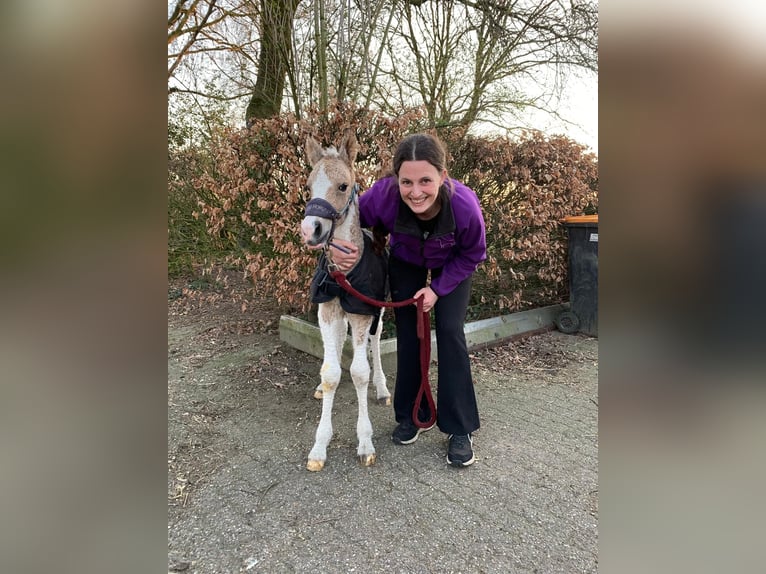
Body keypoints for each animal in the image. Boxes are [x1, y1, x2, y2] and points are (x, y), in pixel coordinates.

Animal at [299, 130, 391, 472]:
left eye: (342, 186)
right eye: (308, 186)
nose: (310, 230)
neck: (344, 271)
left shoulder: (363, 311)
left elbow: (360, 372)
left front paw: (365, 442)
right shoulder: (327, 308)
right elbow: (330, 373)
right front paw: (319, 447)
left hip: (380, 307)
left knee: (376, 340)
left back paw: (383, 388)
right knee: (338, 344)